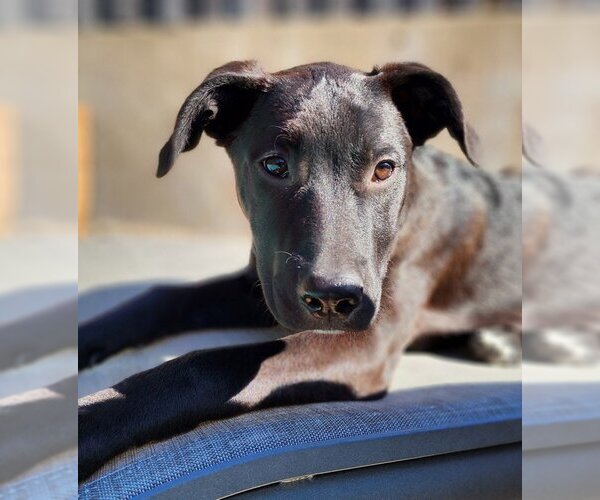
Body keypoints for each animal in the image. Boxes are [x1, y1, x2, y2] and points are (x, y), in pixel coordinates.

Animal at [78, 62, 520, 480]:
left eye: (384, 168)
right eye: (275, 165)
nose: (332, 299)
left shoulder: (367, 344)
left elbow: (206, 365)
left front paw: (88, 423)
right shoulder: (265, 285)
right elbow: (167, 296)